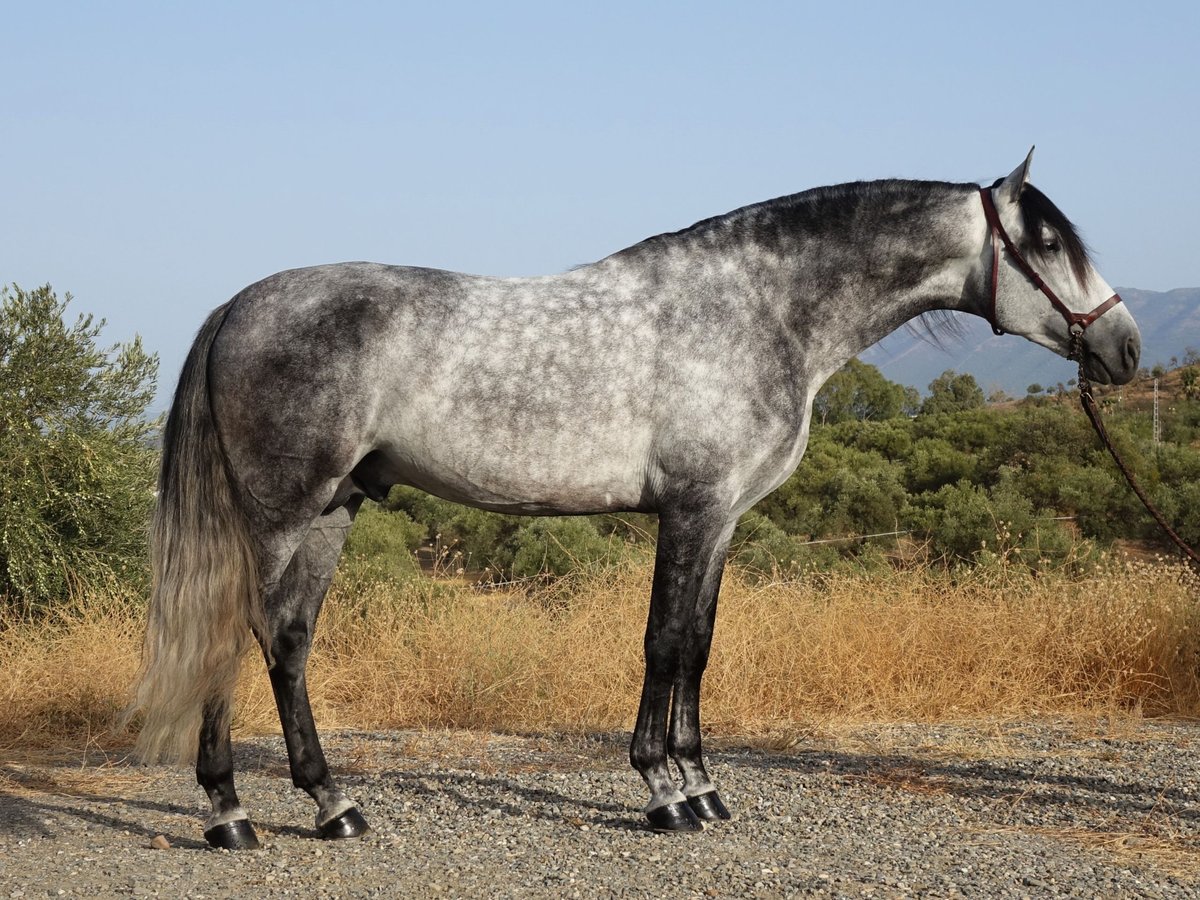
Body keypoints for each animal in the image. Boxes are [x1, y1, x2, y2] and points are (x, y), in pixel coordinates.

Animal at [129, 151, 1142, 849]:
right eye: (1047, 243)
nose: (1125, 349)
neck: (758, 310)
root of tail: (238, 306)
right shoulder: (691, 510)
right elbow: (663, 641)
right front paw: (663, 792)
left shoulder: (721, 518)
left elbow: (697, 643)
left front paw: (702, 785)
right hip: (279, 513)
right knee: (240, 635)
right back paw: (228, 813)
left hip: (336, 508)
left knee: (289, 641)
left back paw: (334, 805)